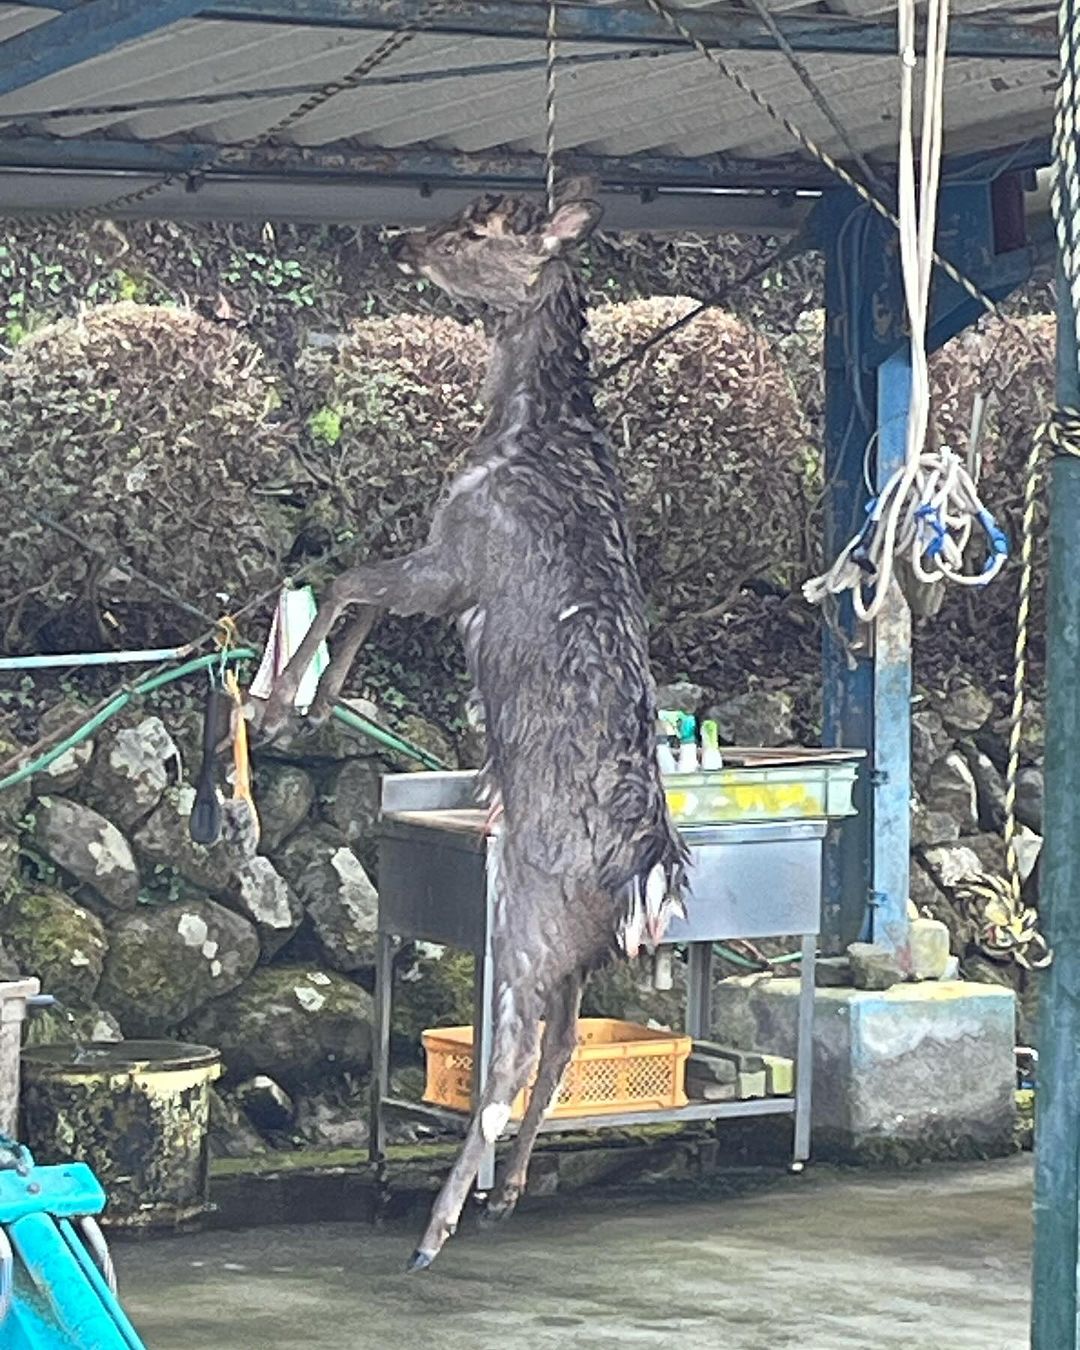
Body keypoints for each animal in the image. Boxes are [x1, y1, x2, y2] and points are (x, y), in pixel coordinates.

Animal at [257, 178, 688, 1271]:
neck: (516, 433)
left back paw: (438, 1226)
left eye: (481, 225)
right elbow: (361, 591)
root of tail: (646, 873)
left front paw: (288, 700)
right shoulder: (447, 566)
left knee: (511, 1056)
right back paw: (512, 1191)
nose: (399, 238)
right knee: (567, 1043)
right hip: (578, 945)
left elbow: (351, 578)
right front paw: (318, 695)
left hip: (525, 911)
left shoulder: (459, 555)